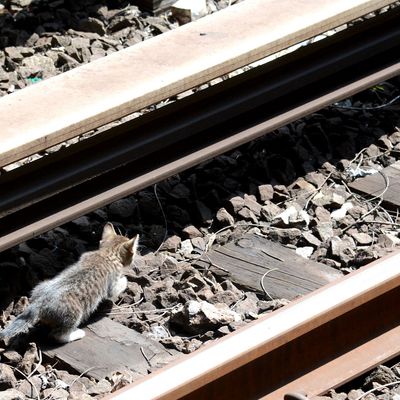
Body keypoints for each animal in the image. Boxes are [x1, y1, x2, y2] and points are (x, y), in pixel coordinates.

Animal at [0, 222, 138, 344]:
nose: (134, 259)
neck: (107, 253)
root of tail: (38, 304)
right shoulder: (112, 285)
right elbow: (119, 285)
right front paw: (125, 279)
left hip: (41, 286)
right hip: (73, 314)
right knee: (57, 336)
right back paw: (76, 334)